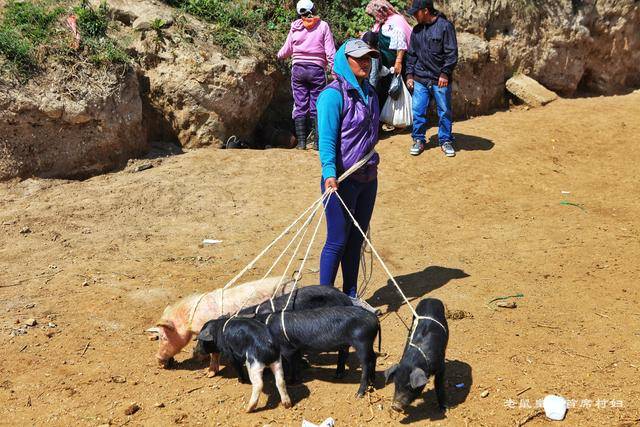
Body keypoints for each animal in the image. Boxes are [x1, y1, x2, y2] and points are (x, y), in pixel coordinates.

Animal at [149, 278, 294, 368]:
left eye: (163, 337)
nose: (157, 359)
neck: (190, 318)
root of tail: (293, 283)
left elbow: (214, 353)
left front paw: (209, 373)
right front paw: (199, 357)